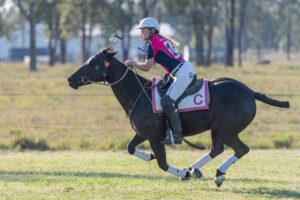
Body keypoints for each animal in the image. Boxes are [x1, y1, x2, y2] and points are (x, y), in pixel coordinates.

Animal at [67, 47, 288, 187]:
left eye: (93, 63)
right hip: (224, 130)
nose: (70, 79)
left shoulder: (155, 138)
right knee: (223, 149)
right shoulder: (143, 133)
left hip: (224, 129)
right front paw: (149, 156)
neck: (140, 94)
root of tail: (250, 92)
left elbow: (162, 164)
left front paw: (183, 173)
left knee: (234, 149)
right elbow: (130, 148)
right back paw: (198, 169)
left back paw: (211, 173)